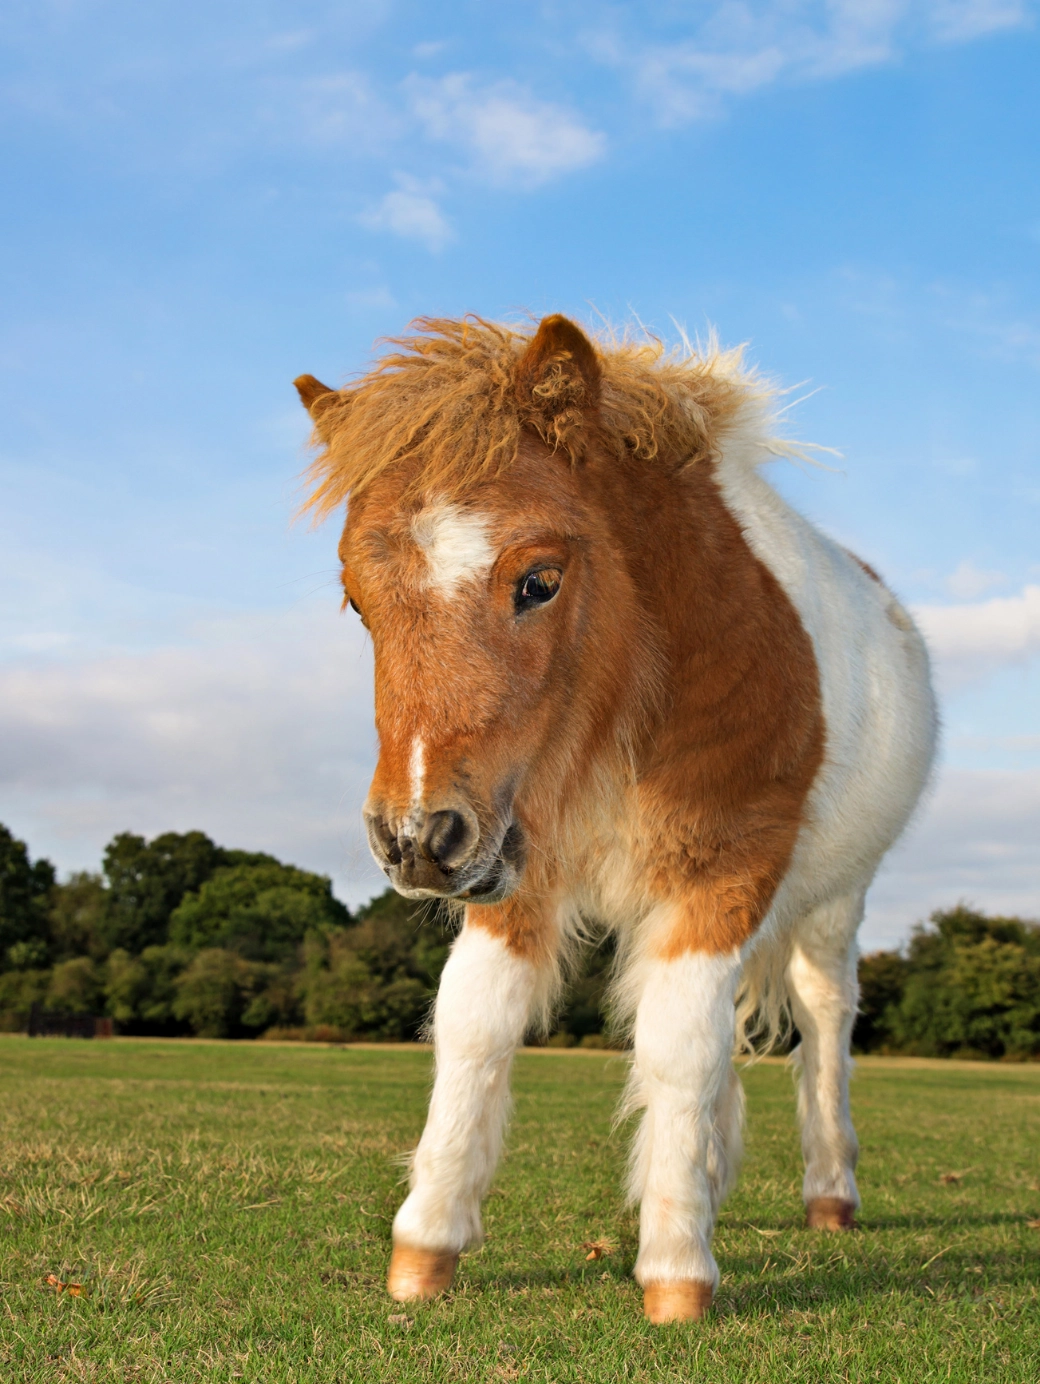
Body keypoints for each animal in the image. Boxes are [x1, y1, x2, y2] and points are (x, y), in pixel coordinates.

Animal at [294, 314, 937, 1323]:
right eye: (358, 600)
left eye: (539, 581)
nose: (414, 841)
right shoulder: (515, 873)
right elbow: (474, 1025)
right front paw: (425, 1249)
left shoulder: (721, 879)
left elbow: (681, 1048)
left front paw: (675, 1271)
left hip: (833, 905)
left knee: (824, 1022)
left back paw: (829, 1193)